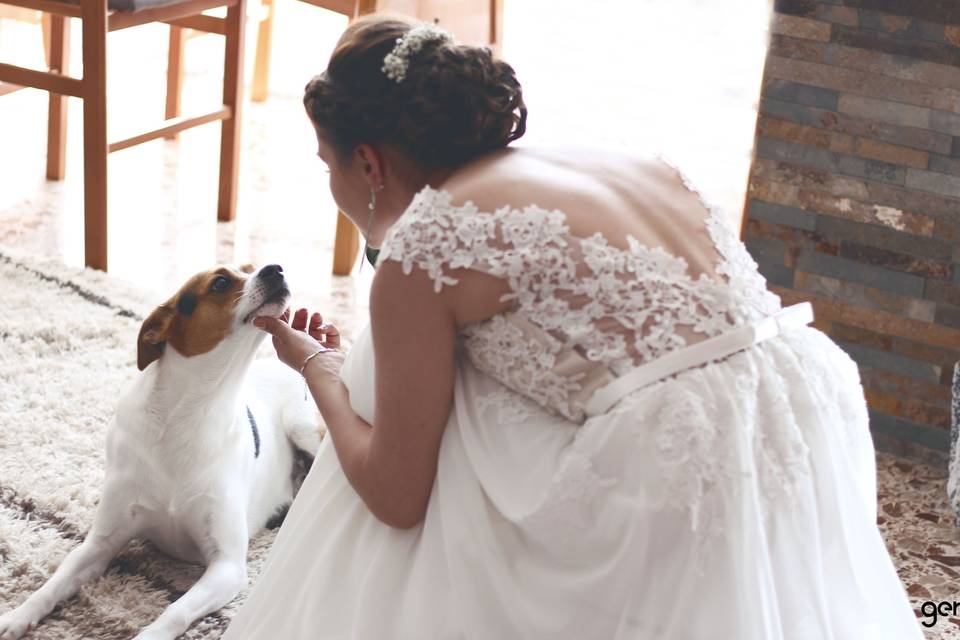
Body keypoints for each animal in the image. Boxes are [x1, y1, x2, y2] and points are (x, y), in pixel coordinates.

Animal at [0, 262, 324, 640]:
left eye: (249, 269)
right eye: (221, 282)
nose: (276, 268)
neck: (190, 412)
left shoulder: (227, 565)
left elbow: (176, 609)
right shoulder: (100, 543)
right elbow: (53, 583)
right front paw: (17, 616)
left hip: (302, 425)